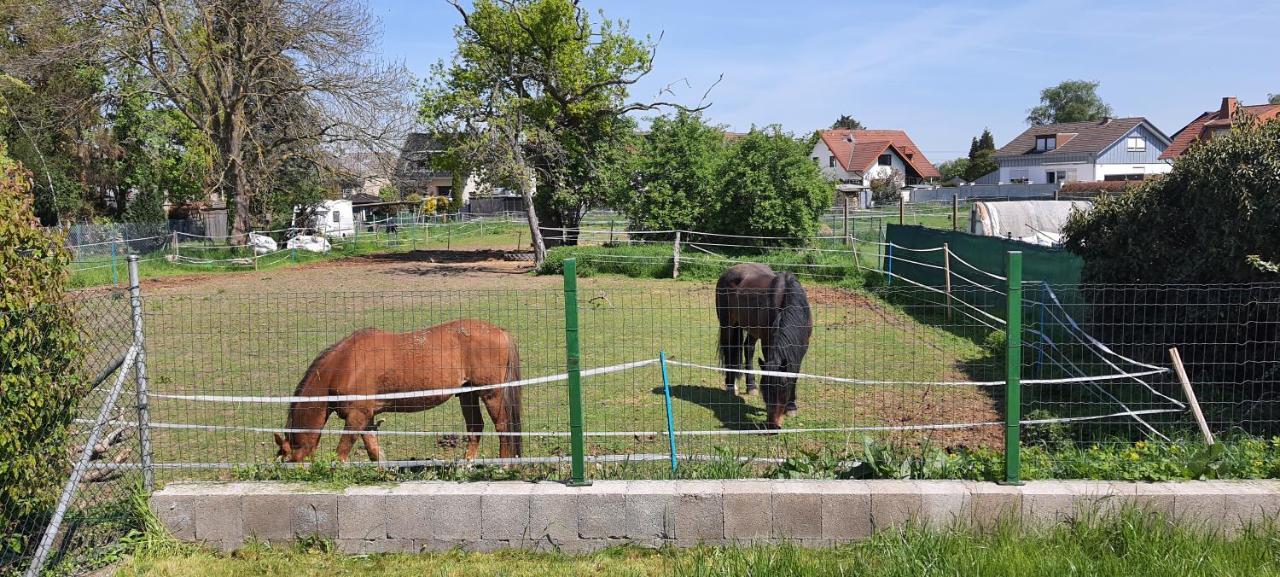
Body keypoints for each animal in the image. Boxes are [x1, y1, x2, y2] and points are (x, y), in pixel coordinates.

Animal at [272, 318, 522, 463]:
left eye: (287, 459)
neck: (345, 364)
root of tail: (501, 332)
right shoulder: (366, 418)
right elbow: (374, 451)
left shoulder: (357, 416)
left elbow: (341, 452)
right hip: (467, 394)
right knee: (475, 428)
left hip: (491, 394)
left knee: (503, 427)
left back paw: (503, 466)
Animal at [716, 263, 814, 429]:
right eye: (766, 392)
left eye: (783, 391)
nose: (772, 426)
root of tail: (729, 271)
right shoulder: (768, 343)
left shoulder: (802, 347)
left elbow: (794, 374)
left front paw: (791, 407)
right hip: (727, 324)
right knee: (729, 350)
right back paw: (730, 386)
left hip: (751, 328)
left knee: (748, 349)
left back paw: (751, 387)